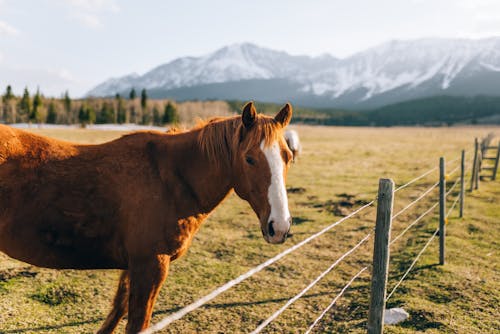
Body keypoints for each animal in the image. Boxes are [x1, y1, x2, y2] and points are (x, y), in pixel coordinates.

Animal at [0, 102, 294, 334]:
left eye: (288, 156)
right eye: (249, 159)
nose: (279, 226)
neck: (171, 179)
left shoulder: (134, 265)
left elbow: (118, 310)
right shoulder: (151, 265)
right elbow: (137, 323)